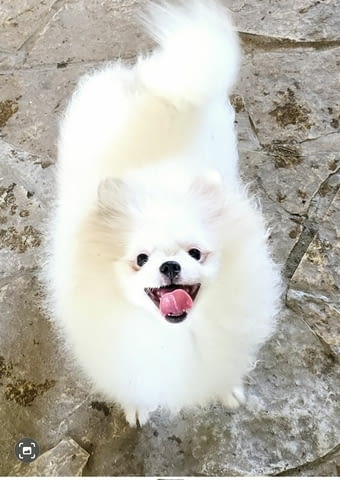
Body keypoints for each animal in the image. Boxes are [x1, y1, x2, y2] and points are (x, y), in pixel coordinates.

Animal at [47, 0, 282, 428]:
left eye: (195, 253)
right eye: (141, 259)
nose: (170, 265)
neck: (173, 335)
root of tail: (152, 85)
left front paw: (227, 390)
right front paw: (137, 408)